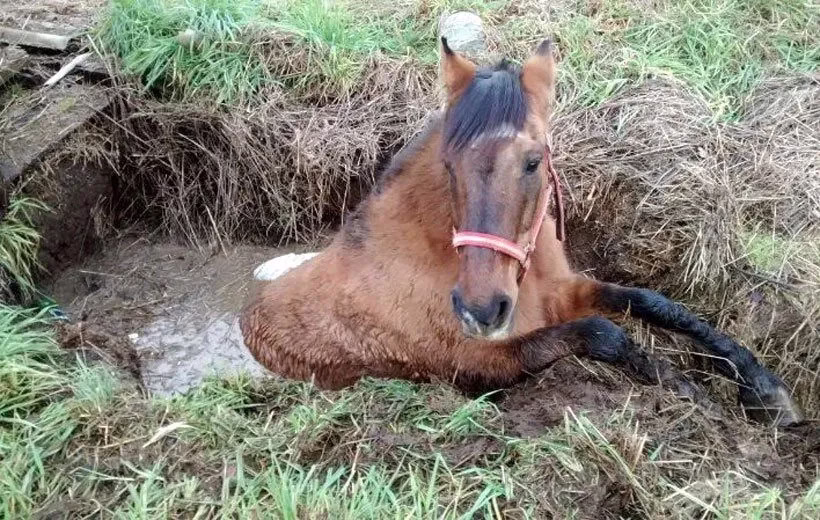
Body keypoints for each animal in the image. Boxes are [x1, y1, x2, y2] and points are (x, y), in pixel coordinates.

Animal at [240, 38, 803, 426]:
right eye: (448, 166)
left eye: (534, 161)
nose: (481, 309)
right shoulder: (478, 362)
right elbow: (604, 334)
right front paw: (684, 388)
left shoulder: (567, 291)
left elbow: (656, 304)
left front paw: (765, 390)